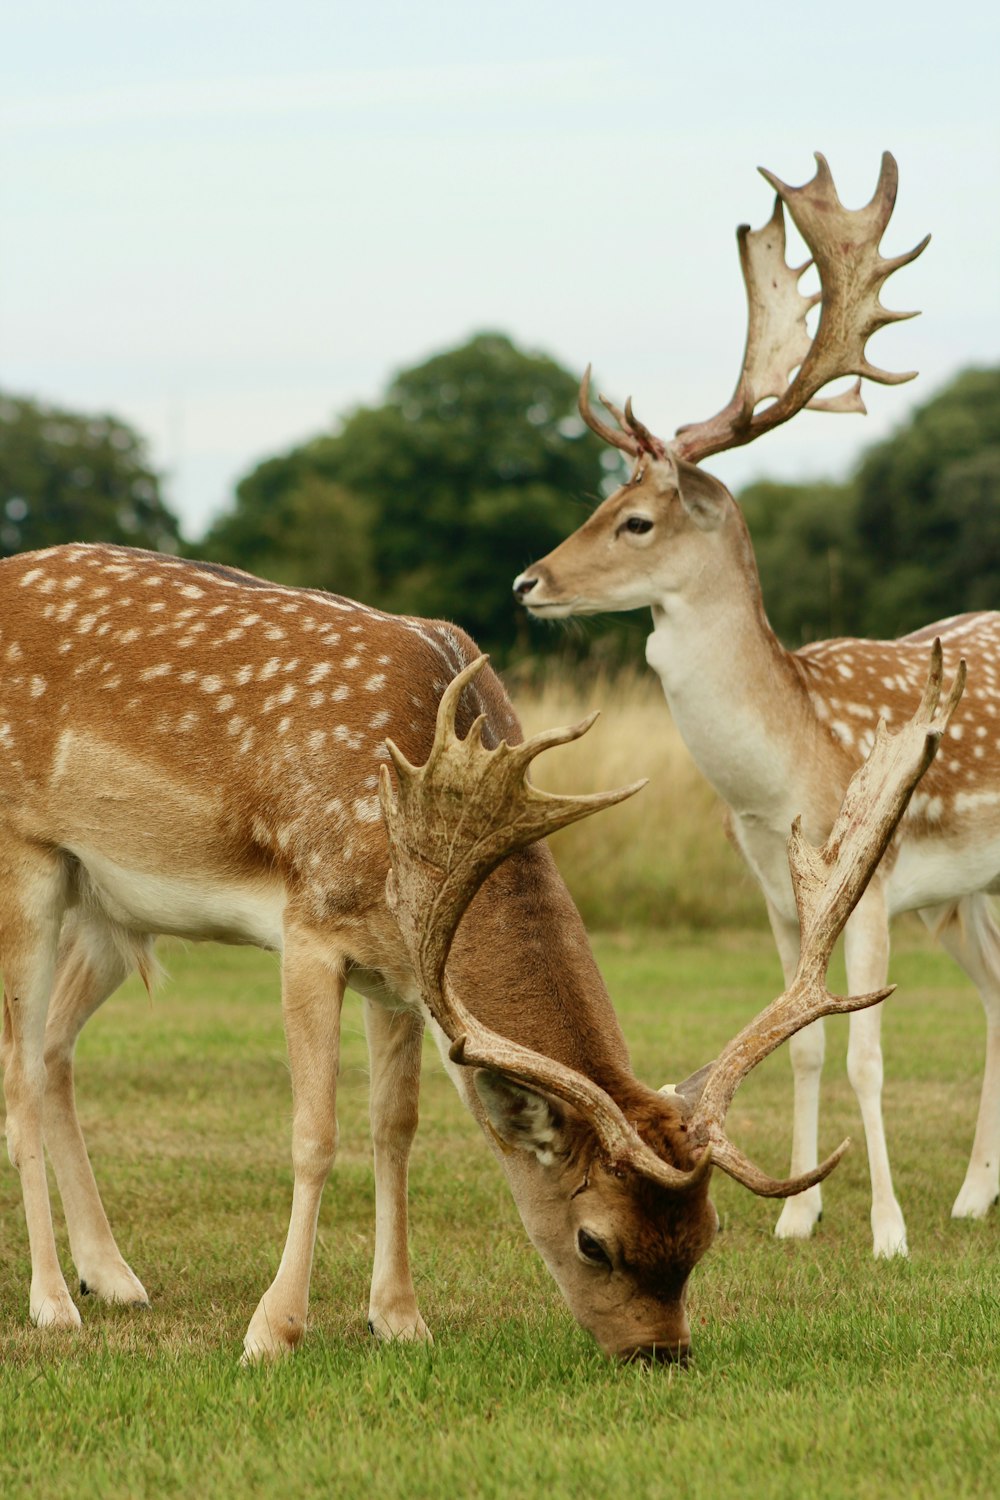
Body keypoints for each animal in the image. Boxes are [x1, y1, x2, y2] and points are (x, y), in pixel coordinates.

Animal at [0, 543, 953, 1362]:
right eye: (595, 1242)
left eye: (706, 1236)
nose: (664, 1354)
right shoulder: (311, 924)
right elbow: (315, 1132)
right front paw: (273, 1331)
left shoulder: (398, 972)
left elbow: (396, 1128)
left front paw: (398, 1317)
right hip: (30, 861)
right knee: (20, 1066)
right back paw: (52, 1301)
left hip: (109, 906)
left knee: (52, 1052)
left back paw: (112, 1276)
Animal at [512, 152, 995, 1260]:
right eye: (600, 501)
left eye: (636, 520)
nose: (527, 582)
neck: (778, 784)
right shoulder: (777, 895)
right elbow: (805, 1049)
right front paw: (800, 1216)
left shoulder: (871, 883)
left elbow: (863, 1055)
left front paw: (887, 1232)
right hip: (967, 898)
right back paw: (974, 1195)